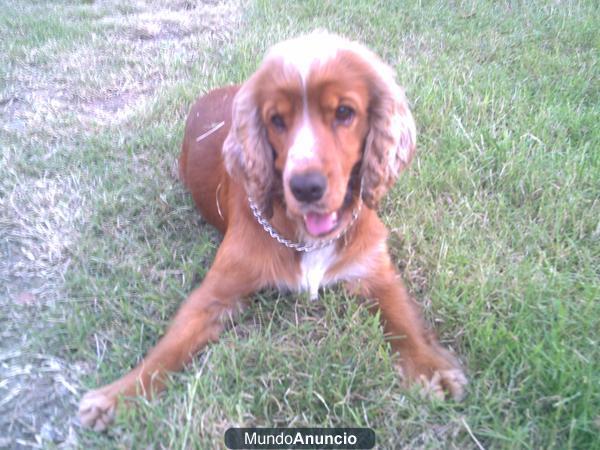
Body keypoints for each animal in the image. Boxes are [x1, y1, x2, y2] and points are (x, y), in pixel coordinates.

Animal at [77, 31, 466, 432]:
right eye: (276, 119)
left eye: (345, 112)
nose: (306, 187)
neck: (304, 236)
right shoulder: (217, 293)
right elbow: (169, 346)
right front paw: (117, 396)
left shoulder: (375, 271)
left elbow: (404, 321)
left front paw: (430, 369)